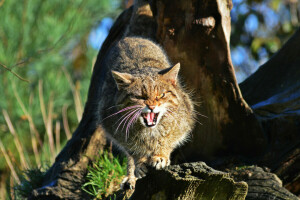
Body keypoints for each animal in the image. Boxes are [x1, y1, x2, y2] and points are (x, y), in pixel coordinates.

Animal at [96, 0, 195, 189]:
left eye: (161, 95)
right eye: (140, 97)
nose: (152, 106)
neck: (150, 132)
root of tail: (133, 37)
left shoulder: (184, 120)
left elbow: (168, 139)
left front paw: (161, 155)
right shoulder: (113, 127)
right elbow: (132, 150)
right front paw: (140, 163)